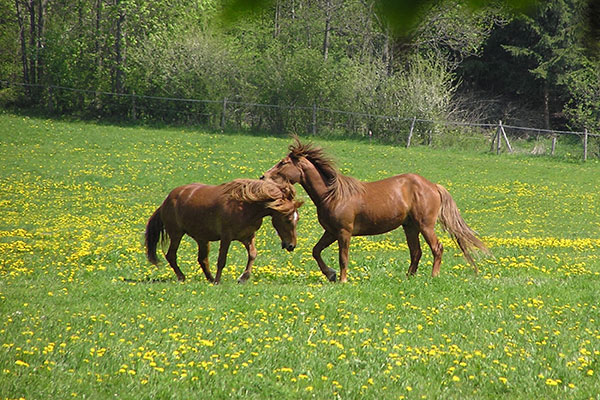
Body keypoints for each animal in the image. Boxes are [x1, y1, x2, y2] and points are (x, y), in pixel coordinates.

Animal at [145, 178, 302, 284]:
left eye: (297, 219)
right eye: (288, 219)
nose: (291, 245)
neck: (246, 206)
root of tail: (166, 201)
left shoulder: (248, 236)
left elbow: (252, 254)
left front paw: (243, 278)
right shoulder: (226, 237)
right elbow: (222, 260)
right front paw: (218, 281)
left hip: (202, 238)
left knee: (202, 259)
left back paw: (209, 278)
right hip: (176, 234)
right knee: (171, 255)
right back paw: (183, 277)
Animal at [262, 139, 488, 282]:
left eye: (283, 163)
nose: (263, 176)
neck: (333, 195)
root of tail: (433, 186)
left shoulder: (344, 232)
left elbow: (343, 258)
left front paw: (342, 280)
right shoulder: (331, 232)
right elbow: (316, 251)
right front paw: (331, 275)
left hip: (425, 226)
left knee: (437, 248)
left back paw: (433, 277)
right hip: (410, 227)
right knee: (416, 252)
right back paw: (408, 278)